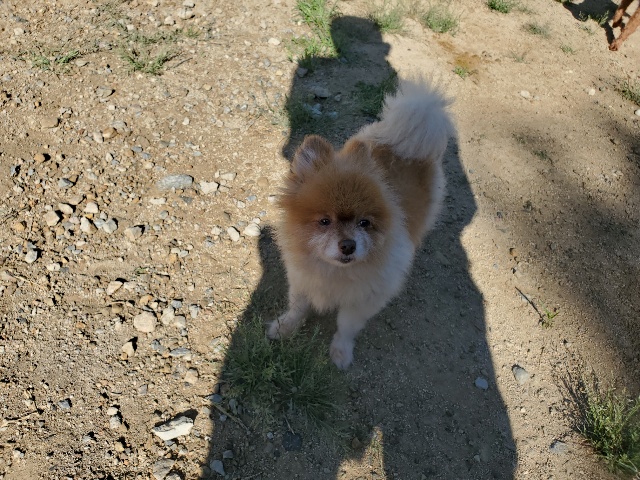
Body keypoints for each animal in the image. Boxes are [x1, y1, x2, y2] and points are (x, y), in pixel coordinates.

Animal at [267, 78, 456, 369]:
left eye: (365, 223)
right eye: (324, 221)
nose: (348, 245)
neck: (334, 273)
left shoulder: (363, 301)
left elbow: (346, 326)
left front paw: (341, 353)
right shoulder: (302, 281)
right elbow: (297, 308)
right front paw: (284, 327)